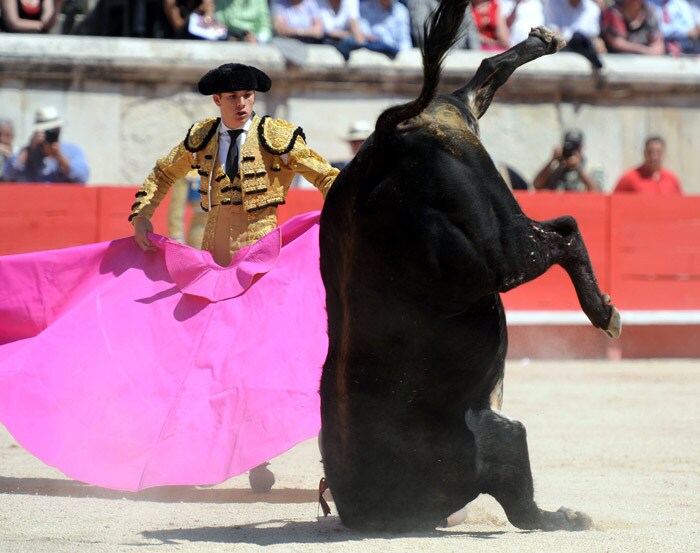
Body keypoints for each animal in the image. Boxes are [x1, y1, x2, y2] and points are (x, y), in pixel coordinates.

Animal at [320, 0, 620, 536]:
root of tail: (384, 141)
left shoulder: (492, 443)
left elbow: (522, 503)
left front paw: (565, 518)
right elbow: (521, 503)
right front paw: (567, 517)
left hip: (501, 249)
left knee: (562, 232)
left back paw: (602, 312)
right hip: (490, 214)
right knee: (481, 86)